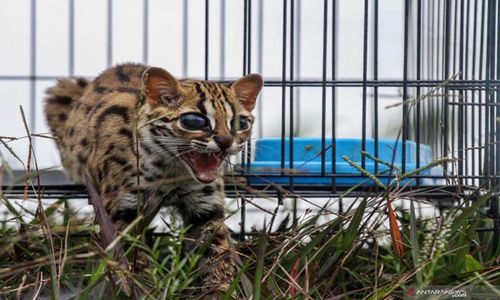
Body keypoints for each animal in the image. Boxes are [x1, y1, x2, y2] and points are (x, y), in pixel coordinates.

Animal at [44, 62, 262, 296]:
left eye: (240, 123)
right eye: (194, 121)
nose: (226, 141)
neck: (171, 170)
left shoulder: (206, 208)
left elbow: (217, 253)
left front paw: (220, 290)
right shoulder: (120, 210)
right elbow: (130, 258)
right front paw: (143, 289)